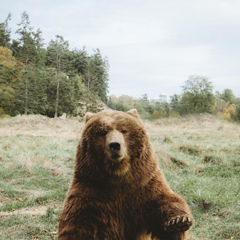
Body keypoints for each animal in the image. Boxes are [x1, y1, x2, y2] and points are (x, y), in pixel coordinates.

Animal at [58, 109, 193, 240]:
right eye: (103, 132)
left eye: (124, 130)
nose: (115, 145)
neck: (119, 176)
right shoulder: (90, 189)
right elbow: (78, 225)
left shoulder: (145, 184)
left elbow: (165, 200)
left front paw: (179, 221)